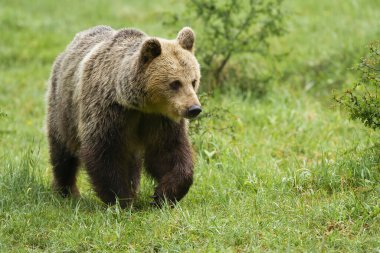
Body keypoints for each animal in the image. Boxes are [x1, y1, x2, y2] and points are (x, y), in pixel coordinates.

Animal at [46, 25, 202, 208]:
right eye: (175, 83)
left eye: (193, 81)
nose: (194, 108)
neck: (138, 105)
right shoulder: (108, 111)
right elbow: (105, 153)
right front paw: (122, 200)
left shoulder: (159, 119)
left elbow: (169, 151)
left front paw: (162, 195)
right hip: (63, 108)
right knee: (63, 151)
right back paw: (66, 191)